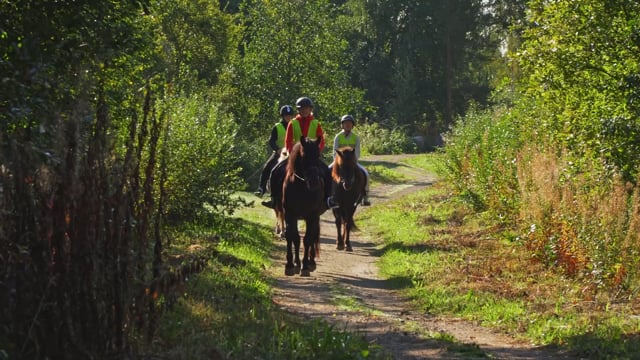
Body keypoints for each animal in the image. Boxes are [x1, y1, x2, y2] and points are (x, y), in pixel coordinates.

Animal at [282, 136, 328, 276]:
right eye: (304, 156)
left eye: (318, 155)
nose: (314, 183)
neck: (302, 187)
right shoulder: (289, 214)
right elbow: (292, 237)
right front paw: (290, 265)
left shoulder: (311, 216)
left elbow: (307, 239)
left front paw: (305, 266)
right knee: (297, 238)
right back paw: (297, 263)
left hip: (315, 217)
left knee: (313, 236)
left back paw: (311, 262)